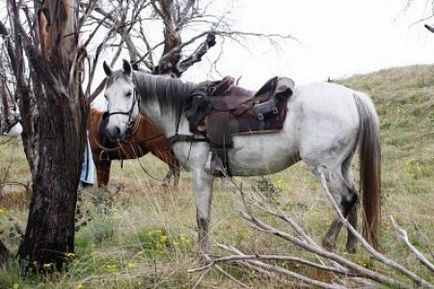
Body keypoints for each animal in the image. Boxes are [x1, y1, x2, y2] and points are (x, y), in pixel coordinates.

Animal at [101, 59, 380, 256]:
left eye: (128, 93)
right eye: (105, 95)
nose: (113, 131)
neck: (184, 113)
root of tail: (352, 96)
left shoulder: (200, 173)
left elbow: (202, 218)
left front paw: (203, 258)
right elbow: (204, 217)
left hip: (325, 167)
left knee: (345, 199)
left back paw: (327, 244)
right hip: (342, 165)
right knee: (353, 198)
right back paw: (351, 248)